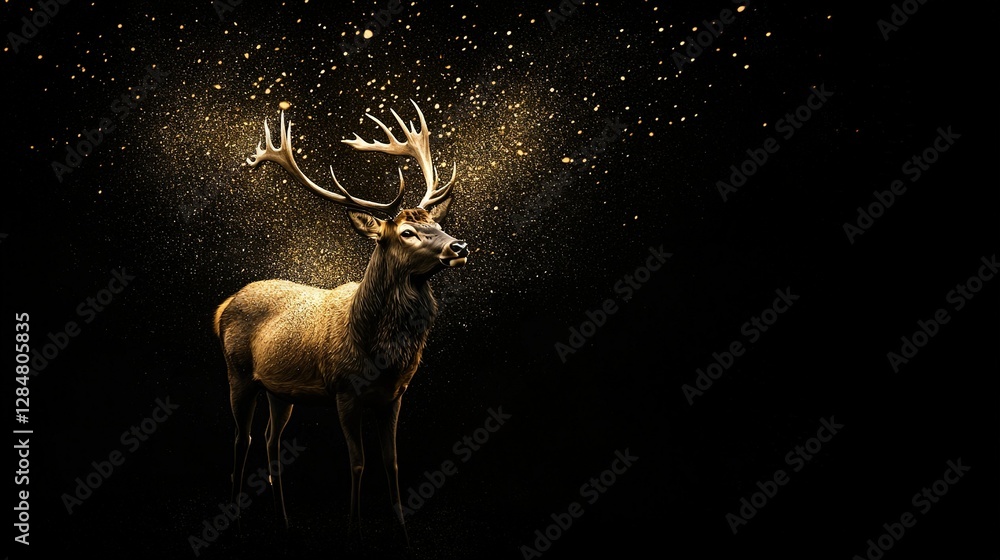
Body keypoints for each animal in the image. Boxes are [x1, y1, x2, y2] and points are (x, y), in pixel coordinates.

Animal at [213, 101, 468, 542]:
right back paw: (239, 522)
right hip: (238, 373)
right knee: (241, 438)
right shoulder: (344, 391)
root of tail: (224, 305)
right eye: (407, 232)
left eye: (437, 223)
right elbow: (358, 462)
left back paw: (284, 521)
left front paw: (403, 534)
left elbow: (392, 462)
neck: (378, 351)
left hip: (279, 390)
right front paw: (354, 531)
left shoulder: (395, 395)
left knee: (270, 440)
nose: (459, 245)